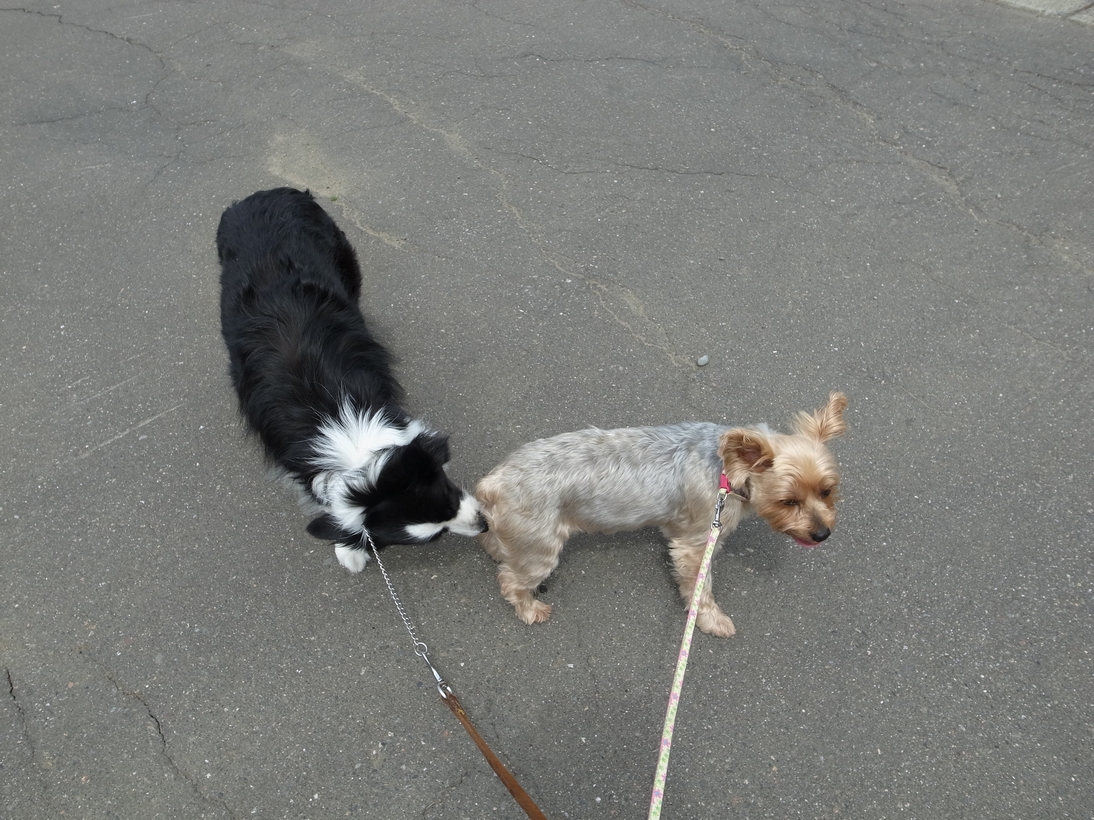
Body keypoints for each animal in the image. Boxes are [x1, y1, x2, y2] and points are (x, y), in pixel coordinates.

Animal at [217, 187, 486, 571]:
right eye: (439, 533)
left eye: (449, 495)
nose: (485, 524)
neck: (348, 438)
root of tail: (265, 194)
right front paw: (351, 549)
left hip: (344, 256)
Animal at [476, 393, 847, 636]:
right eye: (789, 501)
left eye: (827, 491)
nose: (822, 534)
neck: (727, 471)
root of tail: (494, 481)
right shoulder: (698, 543)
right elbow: (701, 586)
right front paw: (712, 620)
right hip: (540, 544)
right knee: (511, 580)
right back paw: (530, 609)